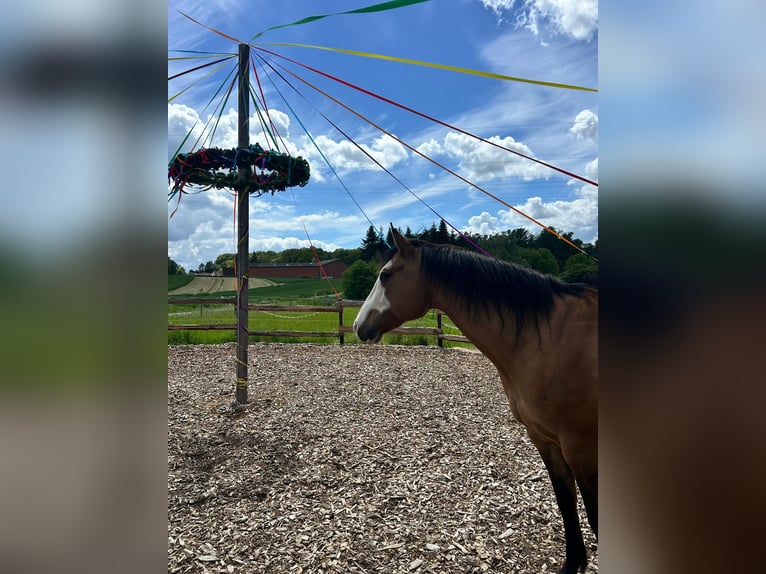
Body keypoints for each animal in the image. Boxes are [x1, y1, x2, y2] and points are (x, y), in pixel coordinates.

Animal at [353, 225, 598, 574]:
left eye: (385, 275)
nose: (359, 326)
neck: (552, 338)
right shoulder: (545, 440)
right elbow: (566, 503)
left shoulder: (582, 450)